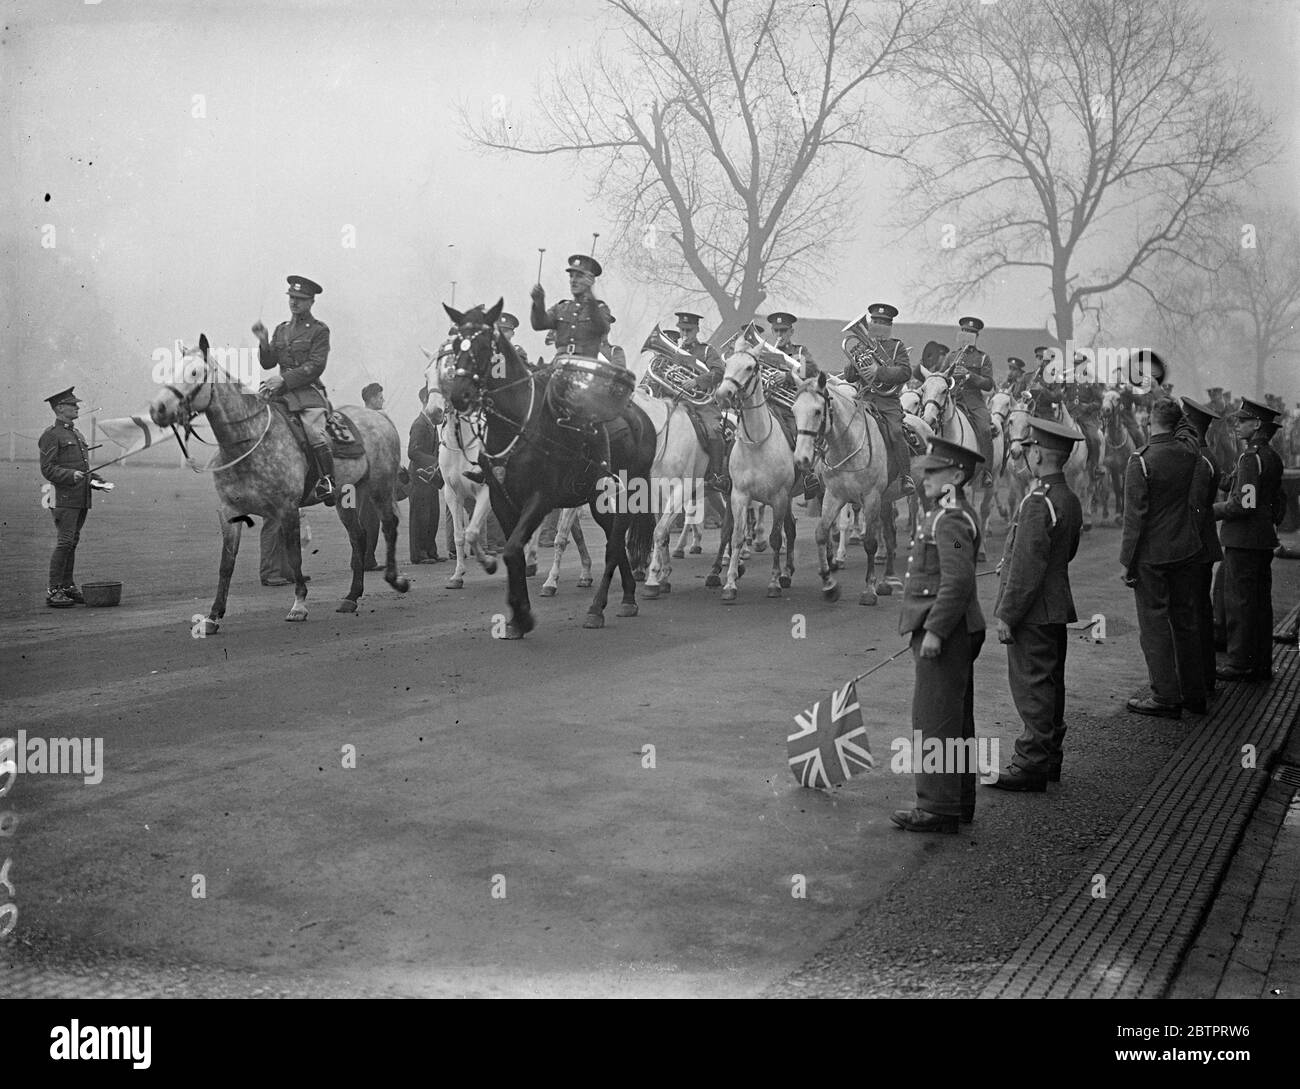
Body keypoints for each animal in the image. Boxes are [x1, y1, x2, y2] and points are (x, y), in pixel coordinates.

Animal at [439, 298, 660, 639]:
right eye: (454, 345)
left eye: (483, 345)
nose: (459, 395)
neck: (519, 423)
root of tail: (641, 418)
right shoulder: (501, 500)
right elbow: (513, 553)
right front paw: (517, 618)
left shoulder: (540, 499)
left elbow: (513, 549)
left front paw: (524, 614)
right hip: (596, 501)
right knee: (614, 539)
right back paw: (627, 598)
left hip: (626, 495)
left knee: (614, 545)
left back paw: (597, 609)